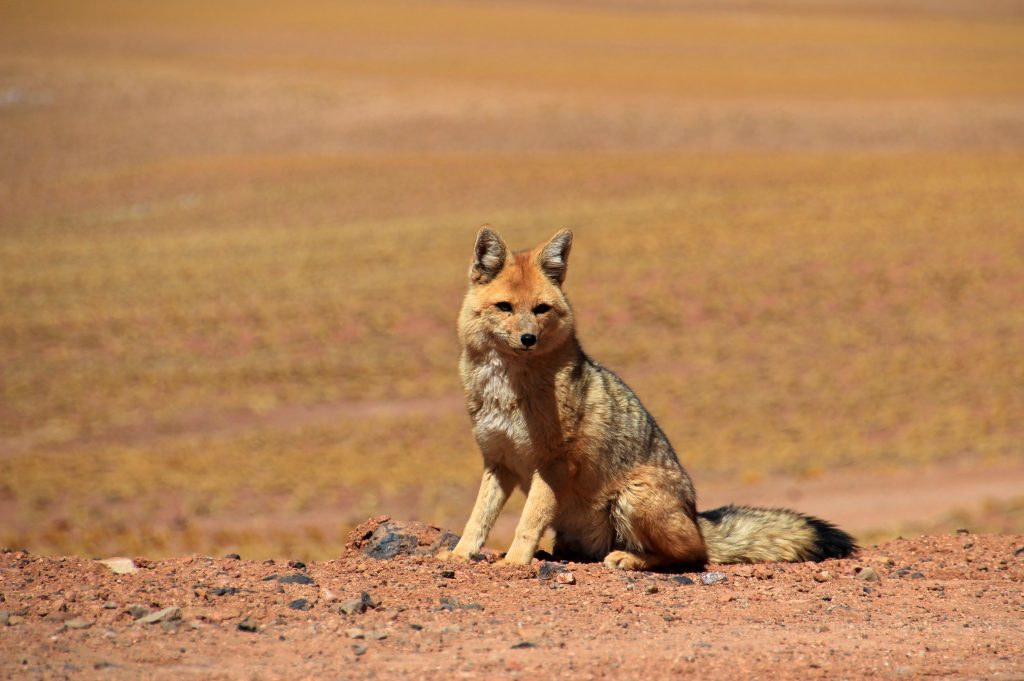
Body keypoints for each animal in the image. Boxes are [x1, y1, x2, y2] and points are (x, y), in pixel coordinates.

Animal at [444, 226, 856, 571]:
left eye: (540, 309)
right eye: (505, 307)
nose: (528, 338)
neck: (507, 390)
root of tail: (696, 517)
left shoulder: (553, 463)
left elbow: (528, 521)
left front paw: (514, 562)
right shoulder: (498, 461)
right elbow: (478, 517)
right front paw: (460, 554)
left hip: (634, 496)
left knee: (692, 556)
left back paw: (628, 558)